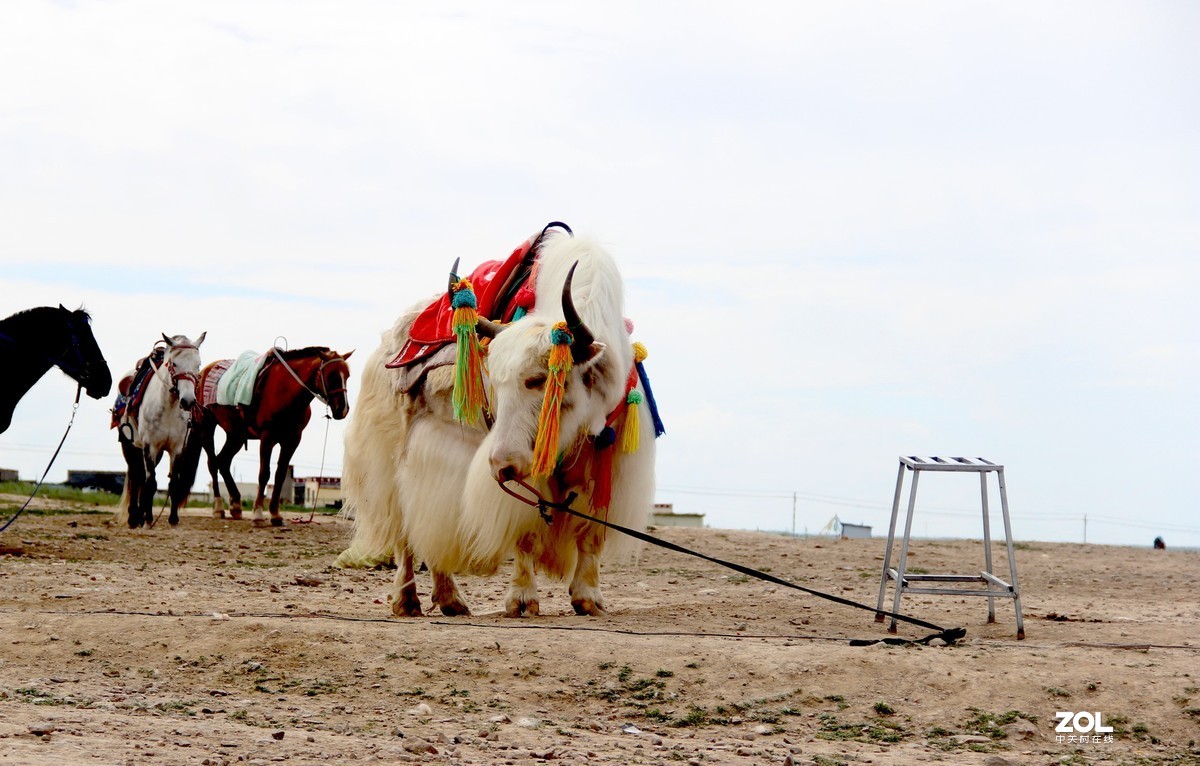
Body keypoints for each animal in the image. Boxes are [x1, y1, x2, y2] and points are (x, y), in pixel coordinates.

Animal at [114, 333, 206, 530]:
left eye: (198, 364)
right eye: (174, 364)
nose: (188, 401)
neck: (168, 407)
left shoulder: (176, 448)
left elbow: (173, 483)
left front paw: (173, 519)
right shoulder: (150, 446)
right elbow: (151, 483)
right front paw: (149, 519)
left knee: (140, 477)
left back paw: (139, 517)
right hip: (130, 446)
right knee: (136, 475)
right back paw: (134, 518)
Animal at [196, 348, 350, 528]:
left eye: (347, 375)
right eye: (331, 375)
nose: (343, 409)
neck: (286, 391)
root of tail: (203, 372)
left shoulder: (292, 440)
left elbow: (280, 475)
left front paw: (275, 514)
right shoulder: (267, 437)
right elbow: (264, 474)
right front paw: (257, 514)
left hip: (236, 435)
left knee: (223, 462)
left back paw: (235, 505)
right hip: (207, 426)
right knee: (213, 463)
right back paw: (219, 508)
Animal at [338, 228, 657, 619]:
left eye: (538, 379)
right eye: (496, 382)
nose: (500, 466)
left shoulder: (606, 460)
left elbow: (590, 532)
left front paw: (588, 598)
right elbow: (525, 532)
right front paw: (522, 600)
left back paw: (449, 600)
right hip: (393, 458)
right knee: (406, 529)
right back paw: (410, 600)